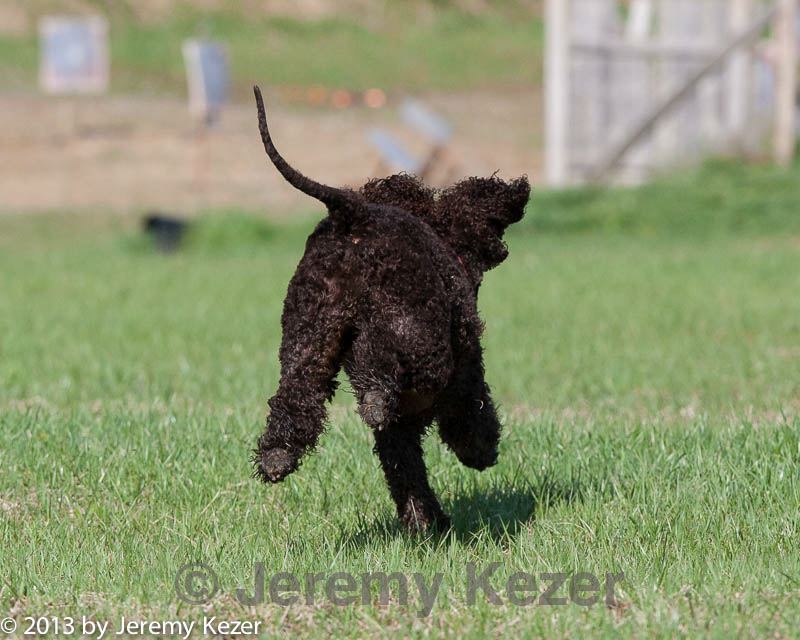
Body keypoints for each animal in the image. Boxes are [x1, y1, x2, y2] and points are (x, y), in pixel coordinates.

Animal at [250, 85, 524, 532]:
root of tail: (352, 215)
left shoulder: (398, 431)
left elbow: (404, 468)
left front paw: (425, 520)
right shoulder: (466, 371)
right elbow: (471, 411)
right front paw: (479, 450)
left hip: (309, 332)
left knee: (298, 393)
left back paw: (279, 455)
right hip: (416, 327)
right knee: (380, 358)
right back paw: (377, 396)